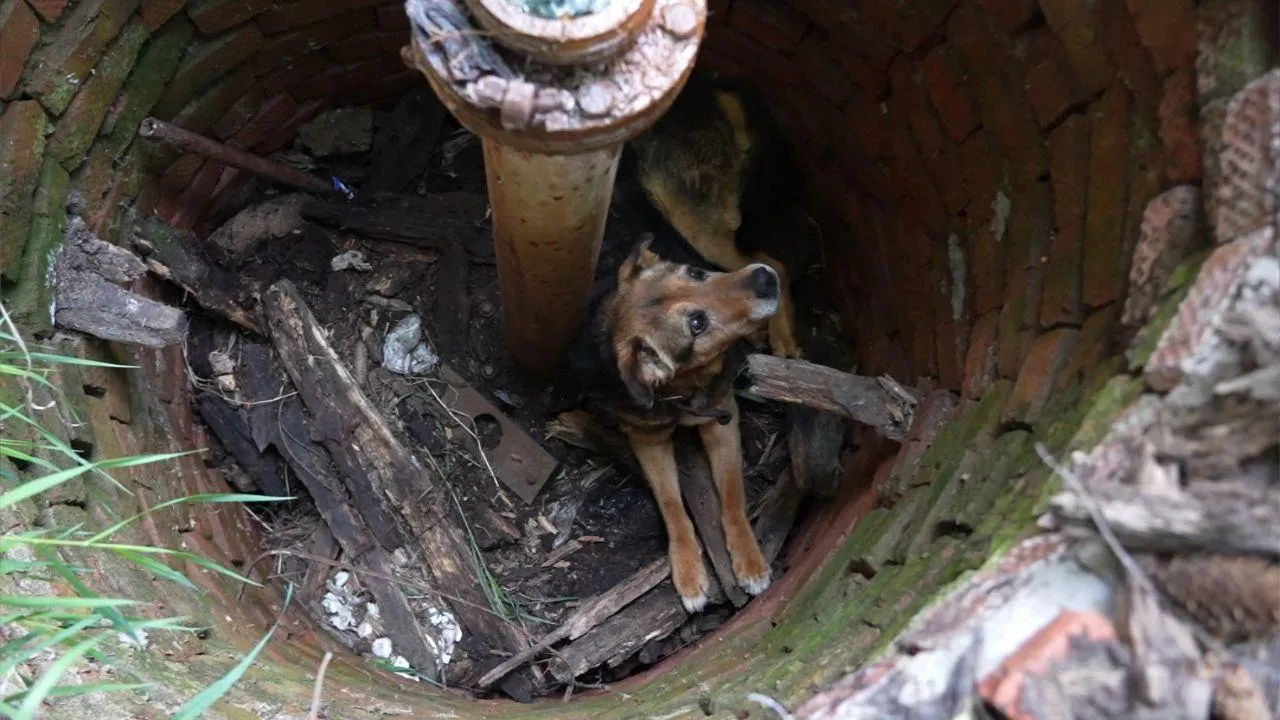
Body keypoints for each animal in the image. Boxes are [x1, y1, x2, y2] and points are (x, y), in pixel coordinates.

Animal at [573, 235, 778, 609]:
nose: (764, 279)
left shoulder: (722, 421)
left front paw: (749, 560)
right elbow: (672, 506)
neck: (683, 388)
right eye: (697, 325)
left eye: (695, 273)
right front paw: (688, 570)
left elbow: (732, 493)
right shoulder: (648, 441)